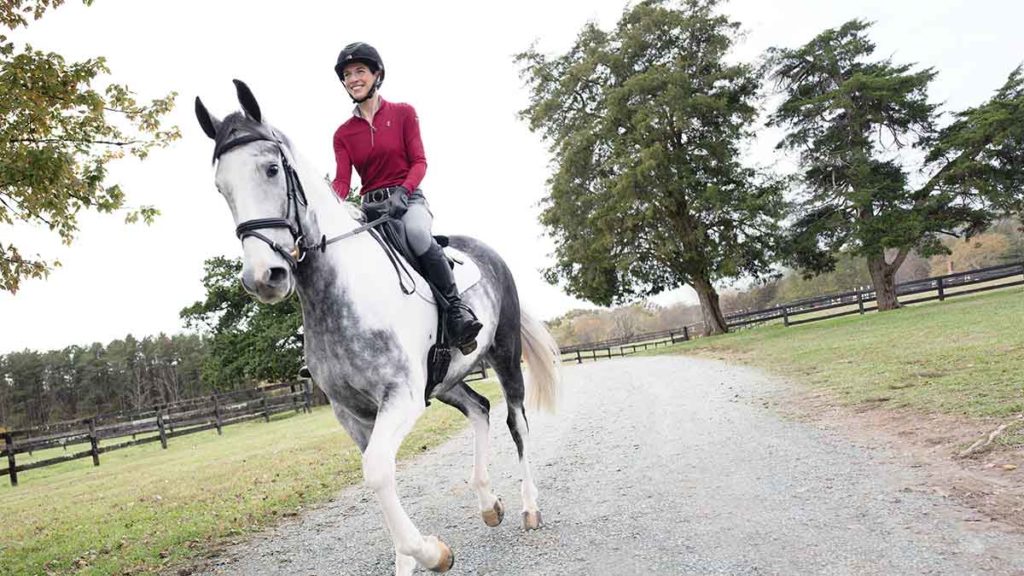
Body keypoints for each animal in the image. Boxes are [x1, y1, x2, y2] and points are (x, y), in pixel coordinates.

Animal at [192, 79, 561, 569]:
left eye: (271, 169)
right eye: (221, 187)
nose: (262, 277)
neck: (341, 296)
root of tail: (490, 254)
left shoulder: (400, 397)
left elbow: (378, 473)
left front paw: (433, 554)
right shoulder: (351, 412)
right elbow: (379, 476)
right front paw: (411, 558)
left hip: (502, 355)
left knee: (515, 422)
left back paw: (529, 507)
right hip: (445, 380)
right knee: (479, 409)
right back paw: (488, 504)